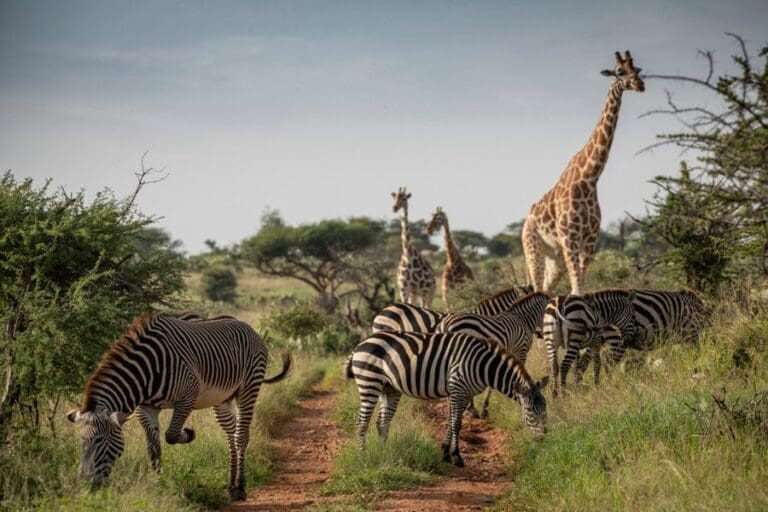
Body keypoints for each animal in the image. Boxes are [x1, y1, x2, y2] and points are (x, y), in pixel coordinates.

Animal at [66, 313, 291, 501]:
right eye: (81, 441)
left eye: (99, 440)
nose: (85, 487)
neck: (146, 372)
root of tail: (246, 325)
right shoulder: (145, 408)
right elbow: (154, 449)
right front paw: (158, 484)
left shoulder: (188, 395)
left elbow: (171, 435)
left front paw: (188, 433)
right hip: (223, 398)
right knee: (231, 433)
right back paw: (231, 484)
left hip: (249, 386)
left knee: (241, 435)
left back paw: (240, 488)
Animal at [345, 331, 548, 467]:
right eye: (530, 411)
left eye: (545, 410)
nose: (544, 438)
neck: (483, 365)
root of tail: (360, 345)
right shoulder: (458, 388)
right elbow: (457, 423)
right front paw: (456, 457)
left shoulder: (464, 393)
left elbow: (451, 421)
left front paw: (445, 453)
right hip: (369, 381)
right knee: (361, 422)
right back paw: (363, 456)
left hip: (389, 388)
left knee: (382, 422)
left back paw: (387, 453)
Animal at [522, 51, 645, 296]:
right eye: (620, 71)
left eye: (637, 70)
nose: (640, 84)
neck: (589, 178)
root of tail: (524, 222)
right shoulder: (569, 237)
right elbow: (576, 289)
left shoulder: (590, 239)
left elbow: (580, 287)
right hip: (533, 247)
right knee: (538, 288)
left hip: (555, 257)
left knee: (546, 289)